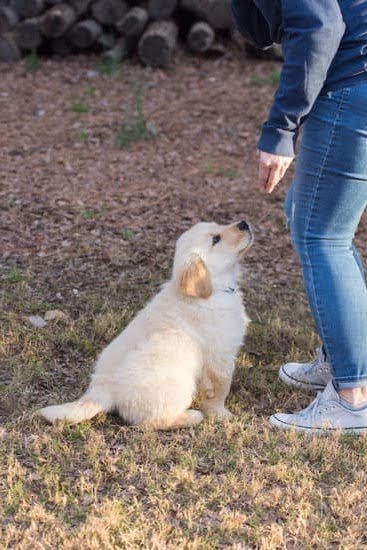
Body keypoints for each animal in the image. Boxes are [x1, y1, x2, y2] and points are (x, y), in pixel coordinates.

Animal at [39, 221, 253, 432]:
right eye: (216, 239)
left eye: (219, 225)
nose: (244, 223)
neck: (213, 290)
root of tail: (101, 390)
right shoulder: (220, 357)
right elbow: (220, 389)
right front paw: (221, 414)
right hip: (178, 384)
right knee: (150, 422)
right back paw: (190, 417)